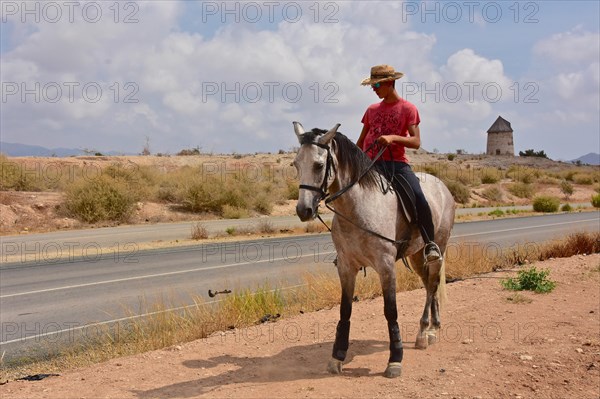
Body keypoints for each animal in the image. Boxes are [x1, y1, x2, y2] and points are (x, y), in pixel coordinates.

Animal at [292, 121, 454, 378]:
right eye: (296, 164)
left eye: (319, 165)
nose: (303, 210)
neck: (357, 208)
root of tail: (441, 185)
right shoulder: (346, 266)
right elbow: (345, 311)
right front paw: (337, 357)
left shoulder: (386, 266)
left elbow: (391, 311)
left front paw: (395, 360)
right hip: (417, 256)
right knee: (430, 284)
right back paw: (429, 329)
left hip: (438, 247)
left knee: (434, 284)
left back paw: (427, 332)